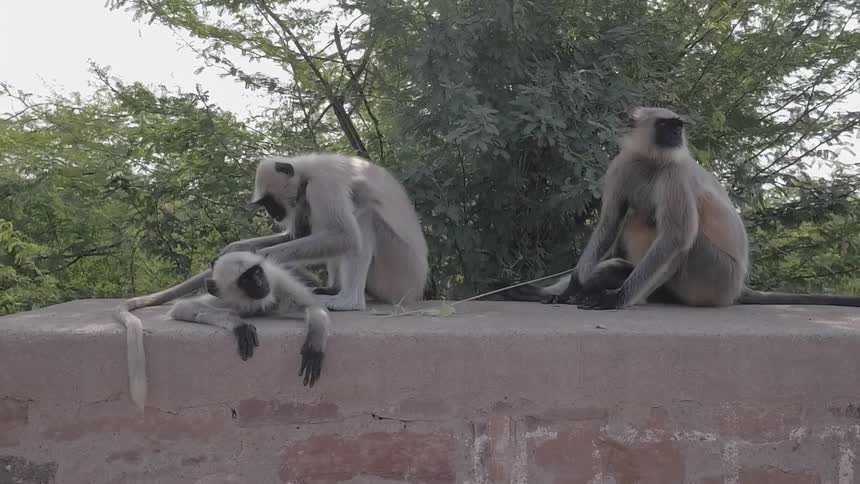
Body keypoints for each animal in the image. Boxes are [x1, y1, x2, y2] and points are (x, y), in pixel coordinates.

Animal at [219, 153, 430, 312]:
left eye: (270, 202)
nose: (272, 214)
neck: (306, 173)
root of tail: (418, 287)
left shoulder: (323, 184)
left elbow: (344, 236)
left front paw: (262, 257)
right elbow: (297, 236)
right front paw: (234, 250)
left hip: (399, 273)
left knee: (364, 213)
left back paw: (349, 302)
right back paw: (334, 289)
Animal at [505, 107, 860, 309]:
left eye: (679, 126)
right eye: (666, 126)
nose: (677, 134)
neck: (650, 162)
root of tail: (737, 288)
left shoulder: (674, 176)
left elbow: (676, 237)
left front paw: (615, 299)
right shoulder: (621, 166)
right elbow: (609, 222)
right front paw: (573, 288)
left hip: (715, 276)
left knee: (675, 234)